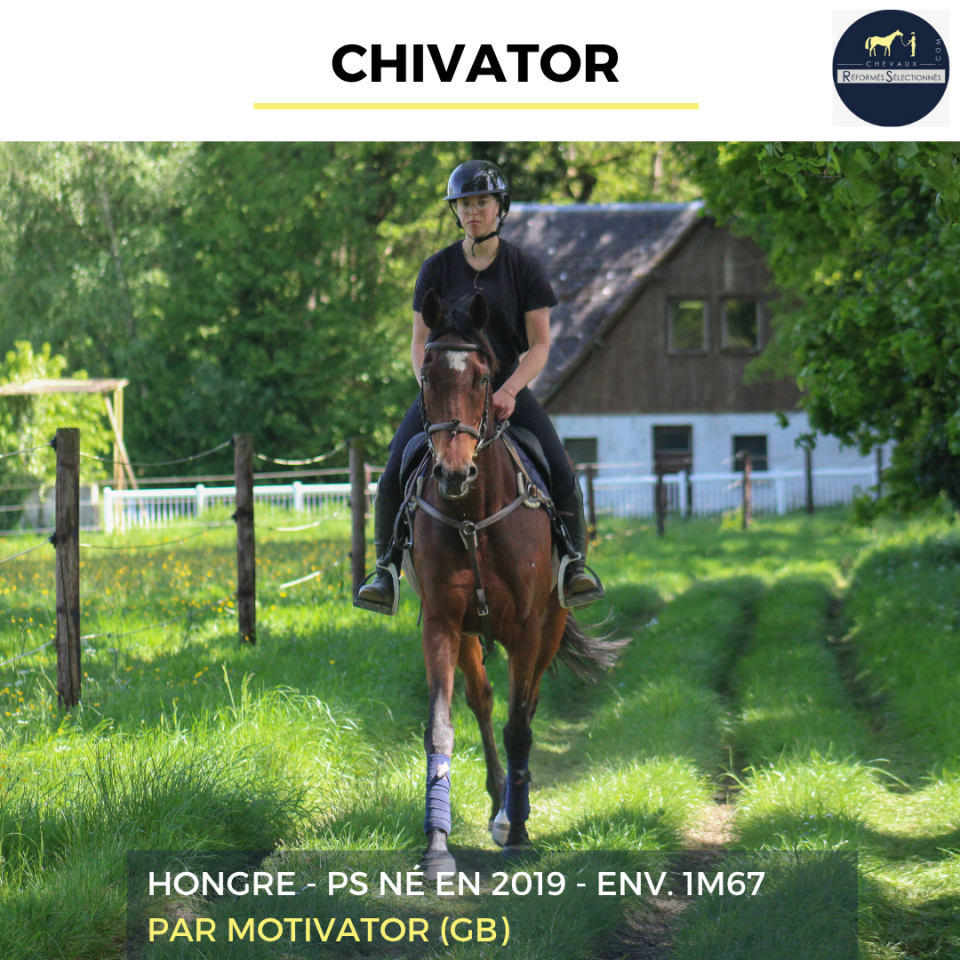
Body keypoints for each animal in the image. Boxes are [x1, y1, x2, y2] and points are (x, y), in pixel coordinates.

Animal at [406, 290, 624, 875]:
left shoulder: (528, 630)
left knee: (528, 703)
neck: (473, 514)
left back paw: (511, 811)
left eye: (483, 378)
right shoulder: (441, 623)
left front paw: (520, 829)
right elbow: (443, 726)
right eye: (427, 377)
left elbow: (520, 724)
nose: (453, 473)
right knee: (483, 700)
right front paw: (437, 846)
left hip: (549, 627)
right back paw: (496, 798)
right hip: (468, 635)